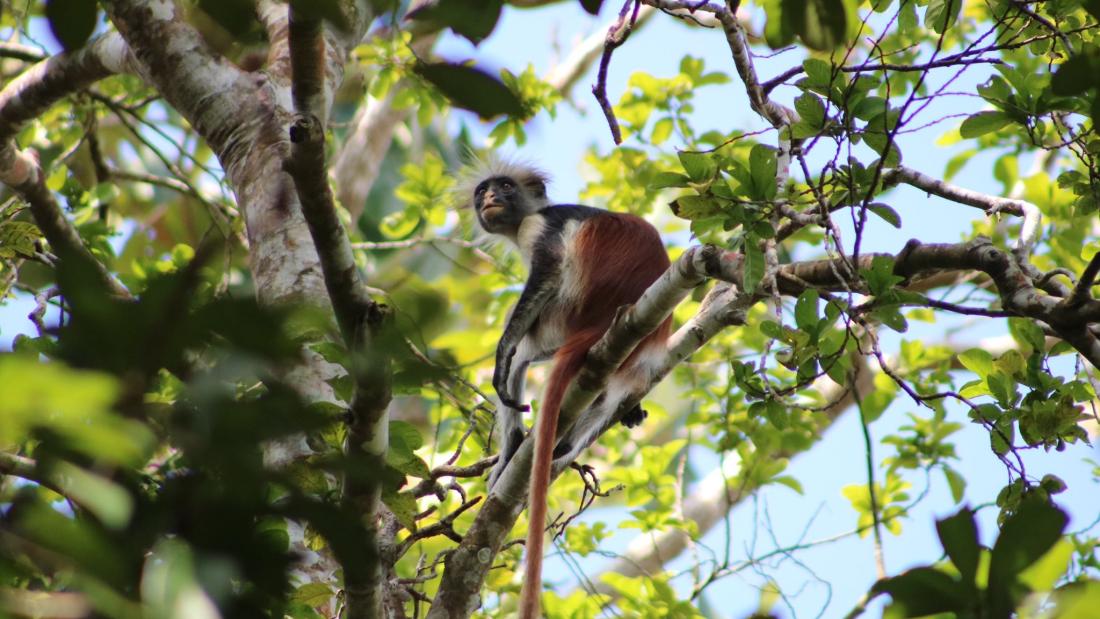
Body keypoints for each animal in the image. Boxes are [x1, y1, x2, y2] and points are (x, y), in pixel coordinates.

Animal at [464, 159, 668, 619]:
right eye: (483, 191)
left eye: (505, 187)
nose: (490, 199)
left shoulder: (541, 227)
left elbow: (548, 270)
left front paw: (503, 352)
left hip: (564, 315)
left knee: (523, 348)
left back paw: (514, 446)